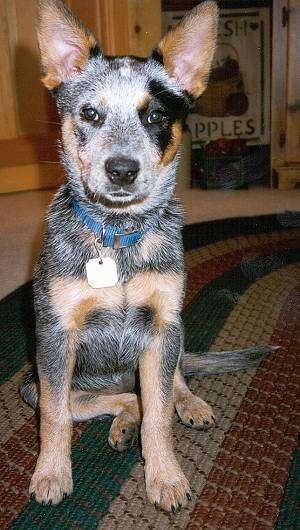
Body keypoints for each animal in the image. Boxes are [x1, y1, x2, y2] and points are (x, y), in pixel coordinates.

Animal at [18, 0, 270, 512]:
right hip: (30, 385)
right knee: (111, 401)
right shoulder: (54, 336)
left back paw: (189, 404)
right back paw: (120, 423)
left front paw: (166, 477)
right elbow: (56, 416)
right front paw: (51, 473)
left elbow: (160, 412)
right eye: (90, 113)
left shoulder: (160, 324)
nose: (122, 169)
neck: (118, 238)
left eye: (154, 116)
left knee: (170, 384)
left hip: (173, 333)